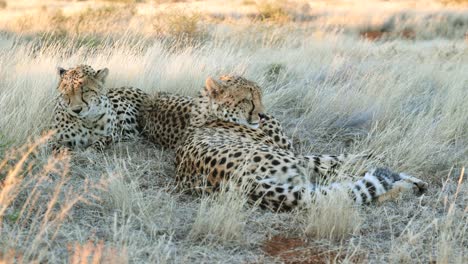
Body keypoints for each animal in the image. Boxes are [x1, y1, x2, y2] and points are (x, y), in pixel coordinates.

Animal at [142, 75, 428, 211]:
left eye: (260, 94)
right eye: (247, 99)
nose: (261, 114)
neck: (209, 114)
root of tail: (244, 182)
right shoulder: (298, 156)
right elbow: (342, 159)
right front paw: (389, 166)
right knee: (344, 188)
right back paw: (401, 187)